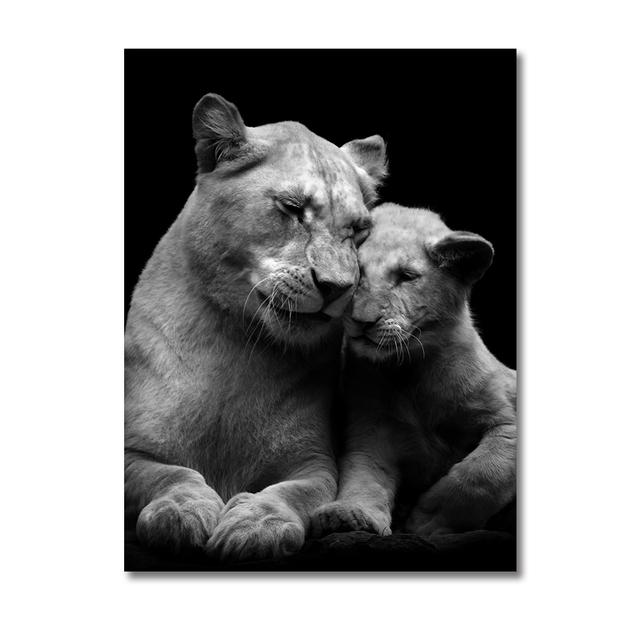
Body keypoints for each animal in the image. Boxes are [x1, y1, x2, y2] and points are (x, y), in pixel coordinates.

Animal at [125, 93, 387, 562]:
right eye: (293, 209)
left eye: (359, 230)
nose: (337, 288)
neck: (236, 342)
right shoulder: (131, 452)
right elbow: (170, 475)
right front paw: (179, 513)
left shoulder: (314, 463)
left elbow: (292, 493)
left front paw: (255, 526)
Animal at [311, 203, 516, 539]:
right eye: (359, 273)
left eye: (406, 277)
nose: (362, 320)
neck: (410, 370)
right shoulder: (371, 434)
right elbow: (363, 477)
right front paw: (349, 514)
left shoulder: (506, 422)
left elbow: (481, 473)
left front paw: (426, 522)